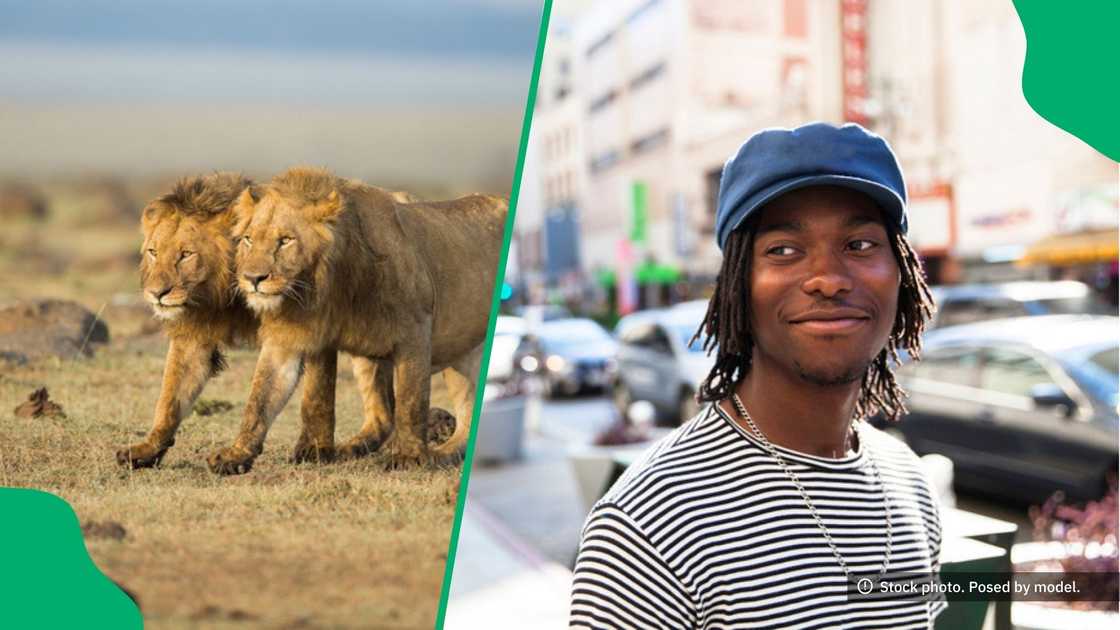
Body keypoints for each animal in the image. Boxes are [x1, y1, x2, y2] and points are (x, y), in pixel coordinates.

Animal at [117, 173, 421, 469]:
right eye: (153, 252)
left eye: (186, 255)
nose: (156, 293)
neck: (228, 295)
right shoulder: (194, 336)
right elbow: (170, 396)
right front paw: (147, 449)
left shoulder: (313, 323)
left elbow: (315, 394)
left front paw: (313, 450)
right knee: (384, 411)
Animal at [206, 167, 505, 474]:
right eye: (248, 239)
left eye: (286, 240)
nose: (252, 278)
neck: (320, 287)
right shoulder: (293, 337)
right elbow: (279, 397)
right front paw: (242, 454)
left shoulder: (415, 330)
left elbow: (411, 399)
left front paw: (408, 457)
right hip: (379, 354)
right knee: (384, 417)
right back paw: (353, 448)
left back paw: (437, 455)